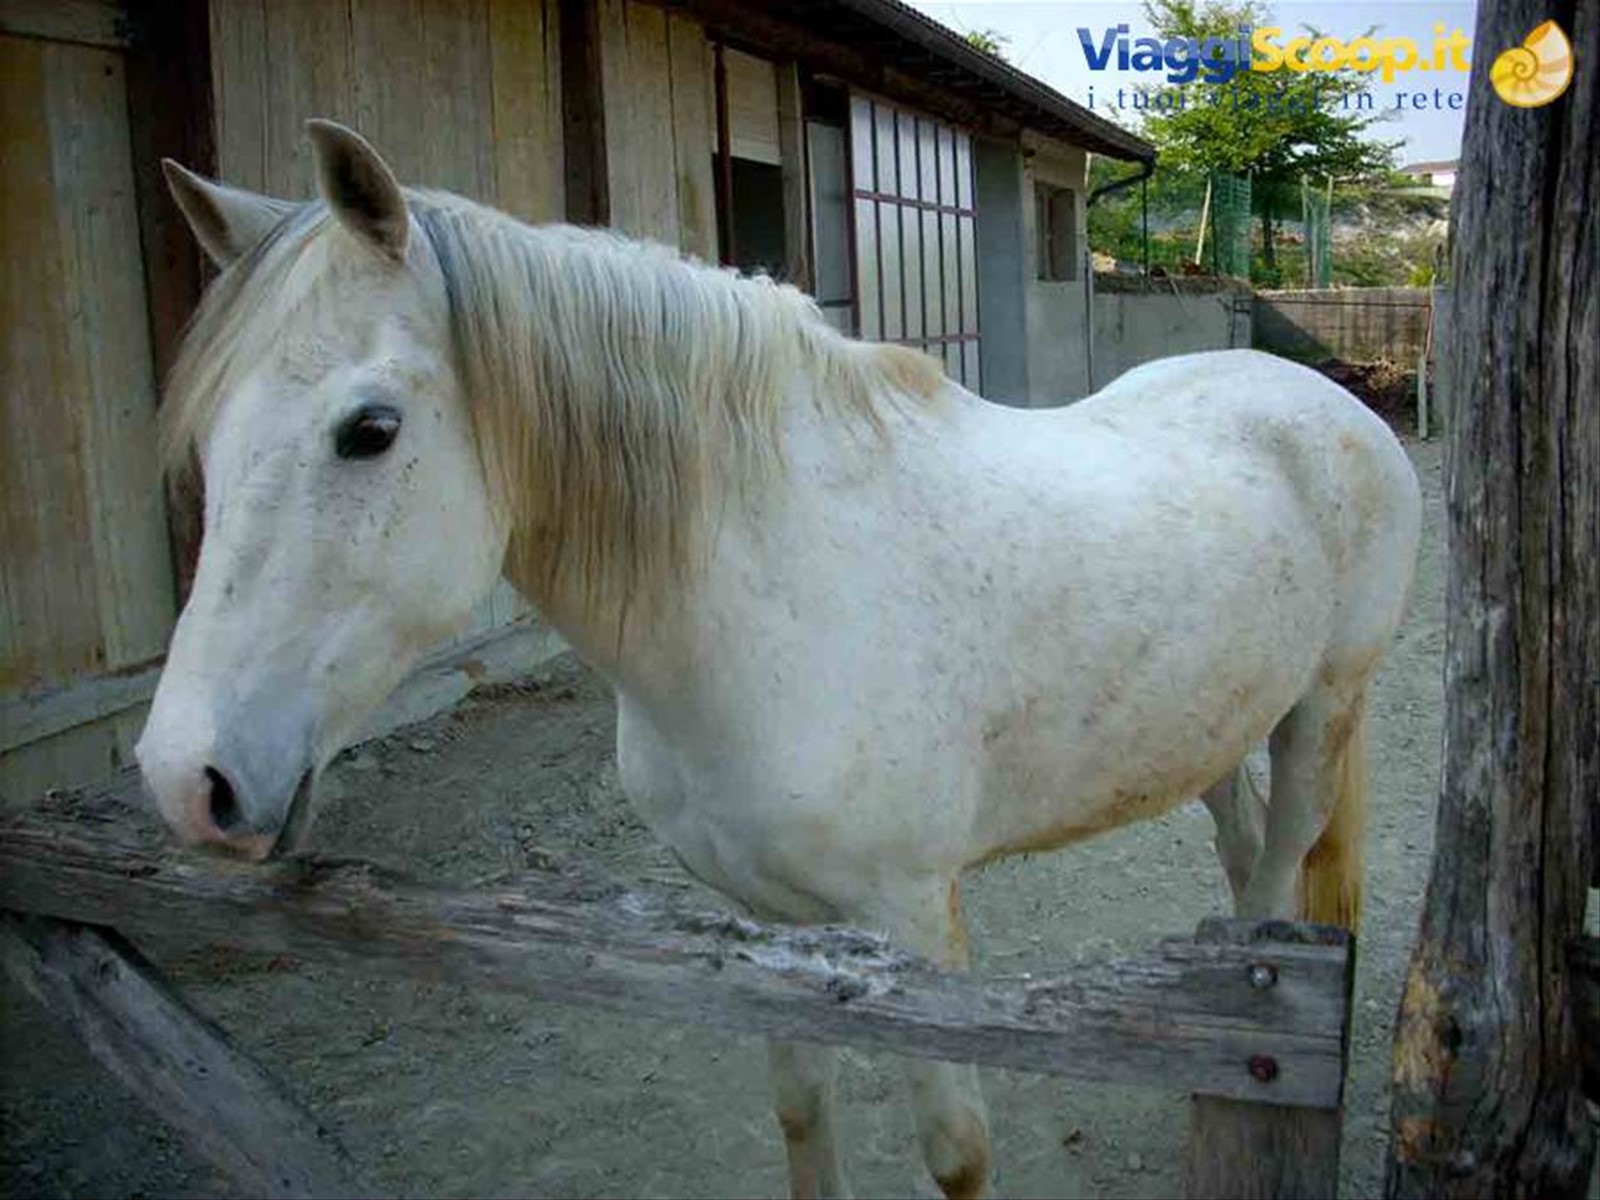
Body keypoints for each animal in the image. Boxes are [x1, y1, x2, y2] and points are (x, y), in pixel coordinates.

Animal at [137, 120, 1422, 1199]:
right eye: (208, 436)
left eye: (369, 431)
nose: (185, 778)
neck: (776, 597)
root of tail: (1321, 398)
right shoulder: (761, 921)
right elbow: (801, 1111)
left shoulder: (913, 920)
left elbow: (956, 1150)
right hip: (1210, 729)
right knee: (1239, 848)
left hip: (1322, 713)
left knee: (1280, 874)